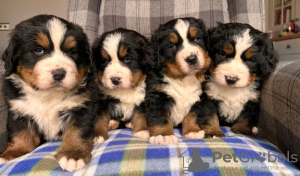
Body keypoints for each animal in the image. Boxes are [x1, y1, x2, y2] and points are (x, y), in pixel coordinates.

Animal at [0, 15, 98, 172]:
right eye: (39, 50)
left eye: (72, 52)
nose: (59, 74)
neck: (48, 95)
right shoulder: (19, 110)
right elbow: (20, 133)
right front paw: (13, 152)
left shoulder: (82, 106)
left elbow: (76, 132)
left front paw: (73, 154)